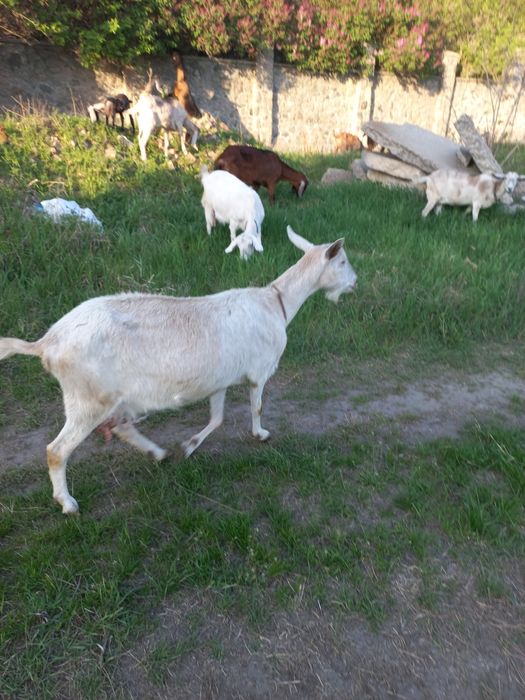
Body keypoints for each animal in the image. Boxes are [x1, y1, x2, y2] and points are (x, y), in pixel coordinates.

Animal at [0, 227, 357, 515]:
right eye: (341, 262)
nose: (355, 282)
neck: (277, 303)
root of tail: (46, 343)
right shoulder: (259, 370)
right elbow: (255, 407)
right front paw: (260, 434)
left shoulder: (219, 380)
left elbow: (217, 418)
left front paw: (189, 446)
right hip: (87, 397)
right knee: (56, 450)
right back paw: (68, 503)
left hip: (112, 395)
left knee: (121, 426)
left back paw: (157, 453)